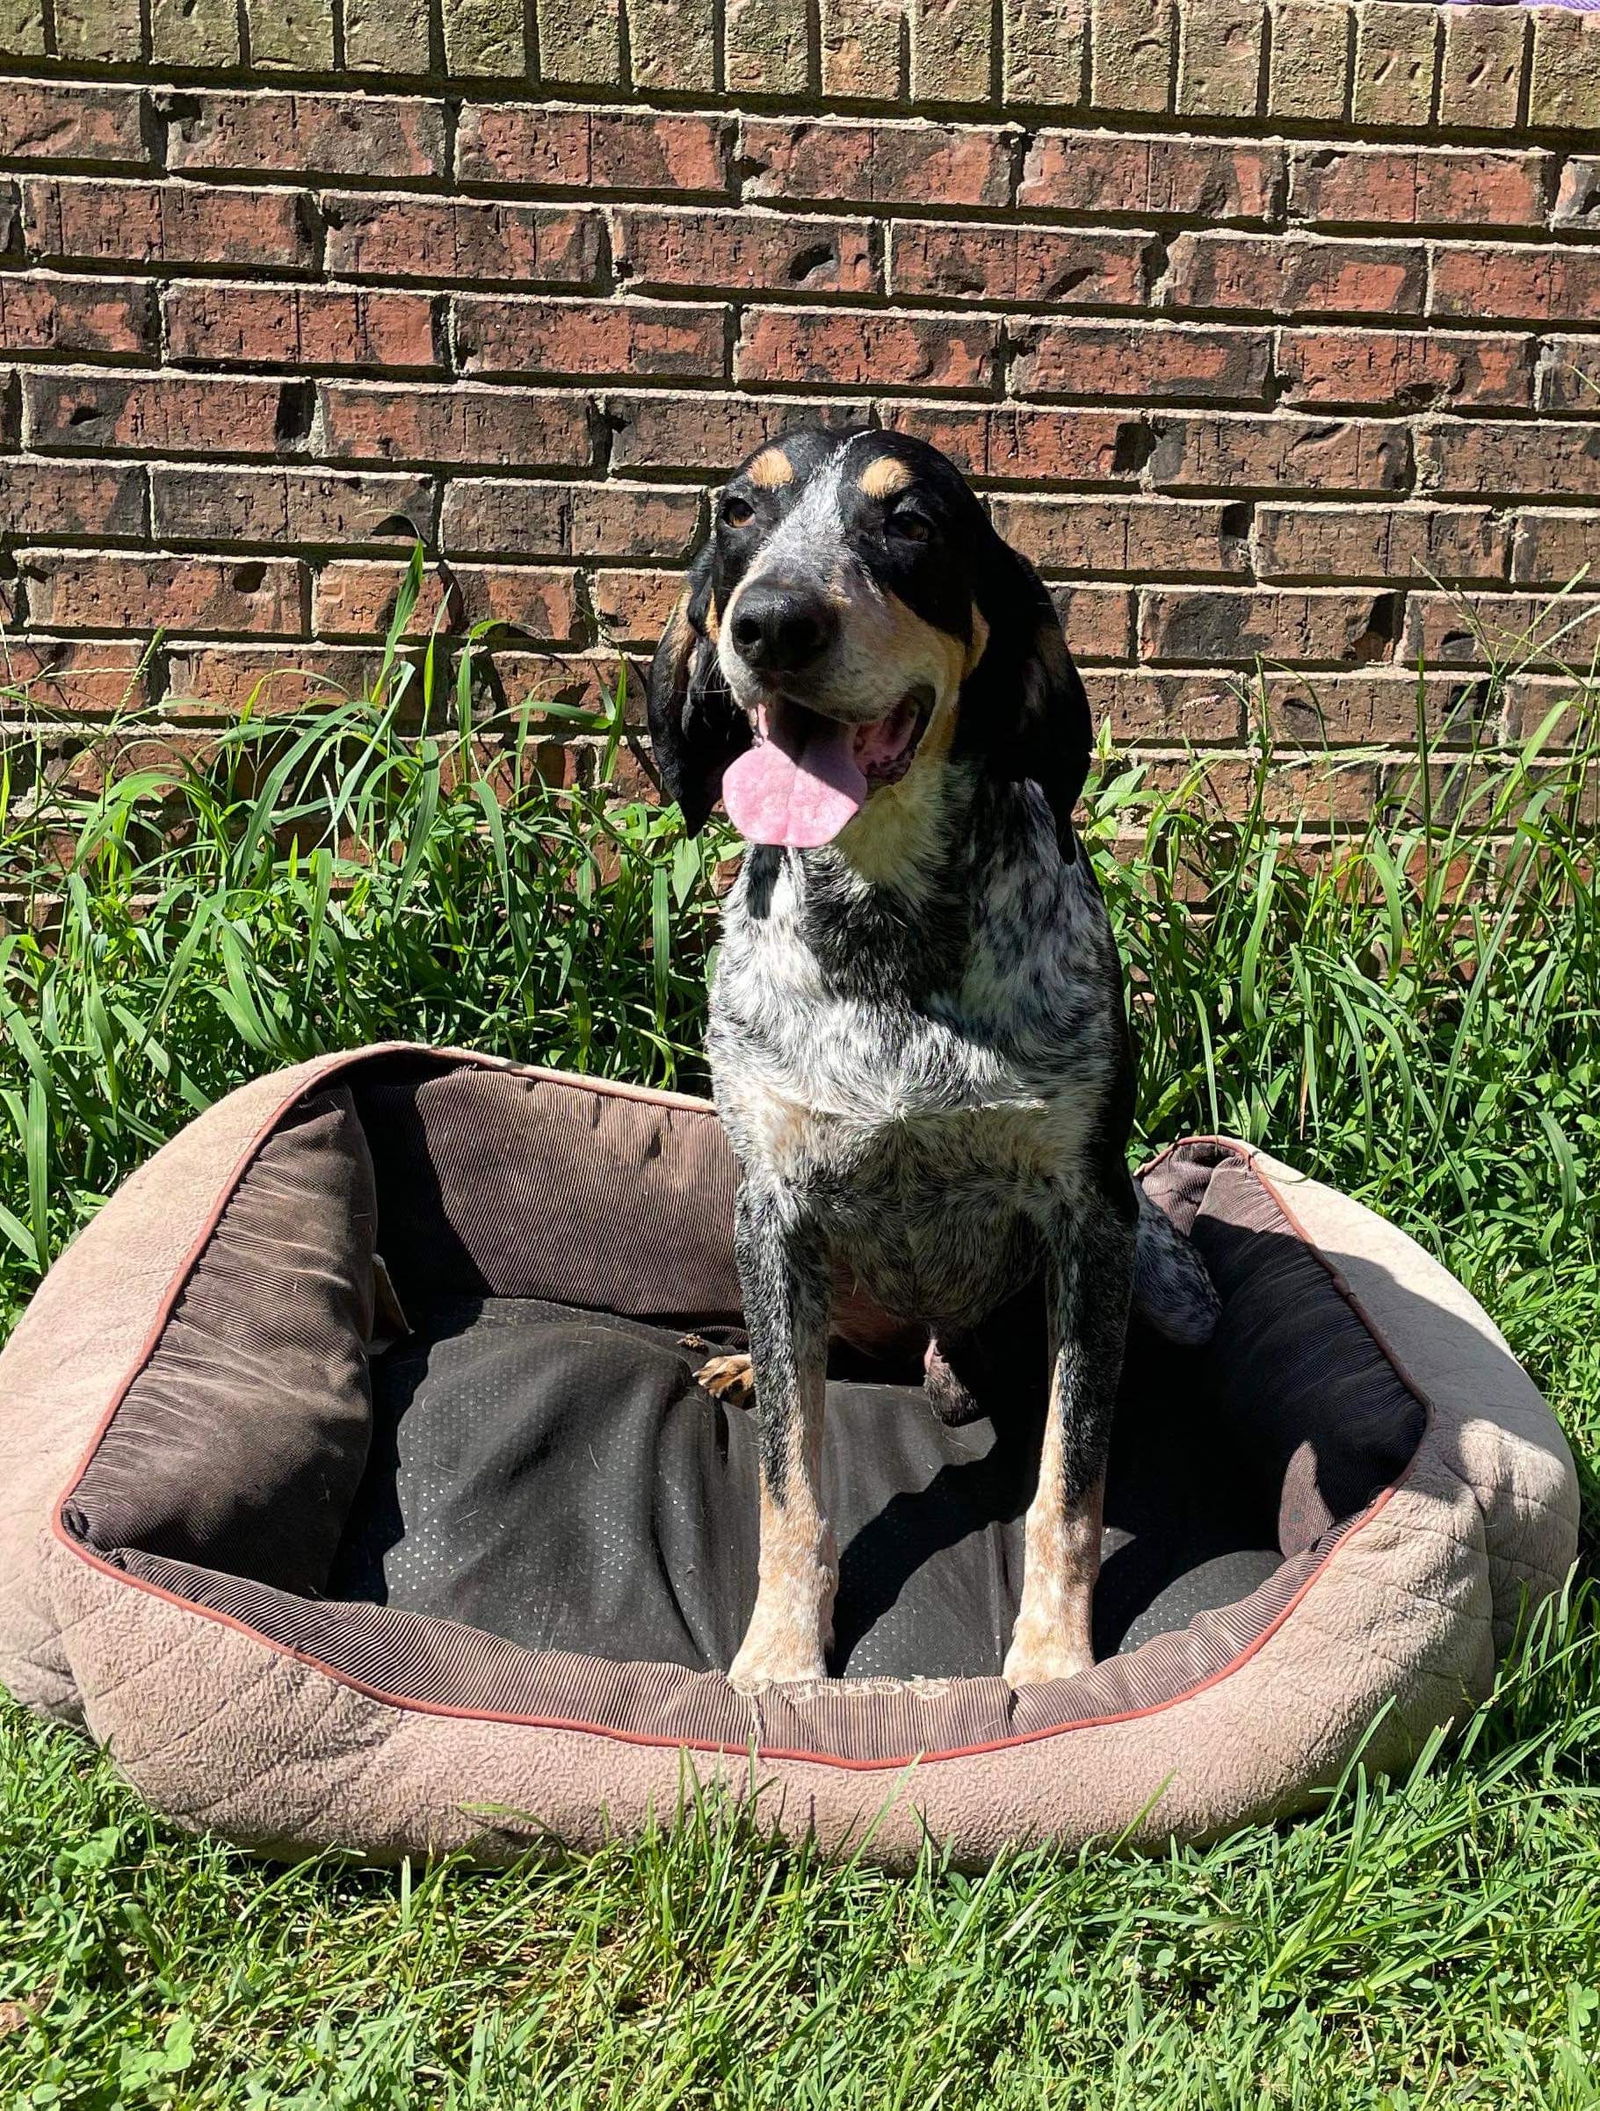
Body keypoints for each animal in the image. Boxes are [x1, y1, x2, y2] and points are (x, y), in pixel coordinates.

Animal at [645, 428, 1224, 1697]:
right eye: (737, 511)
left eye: (908, 521)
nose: (769, 622)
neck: (884, 916)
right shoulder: (772, 1207)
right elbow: (791, 1481)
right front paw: (779, 1658)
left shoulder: (1092, 1222)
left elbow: (1068, 1479)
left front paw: (1055, 1657)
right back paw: (743, 1368)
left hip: (1166, 1286)